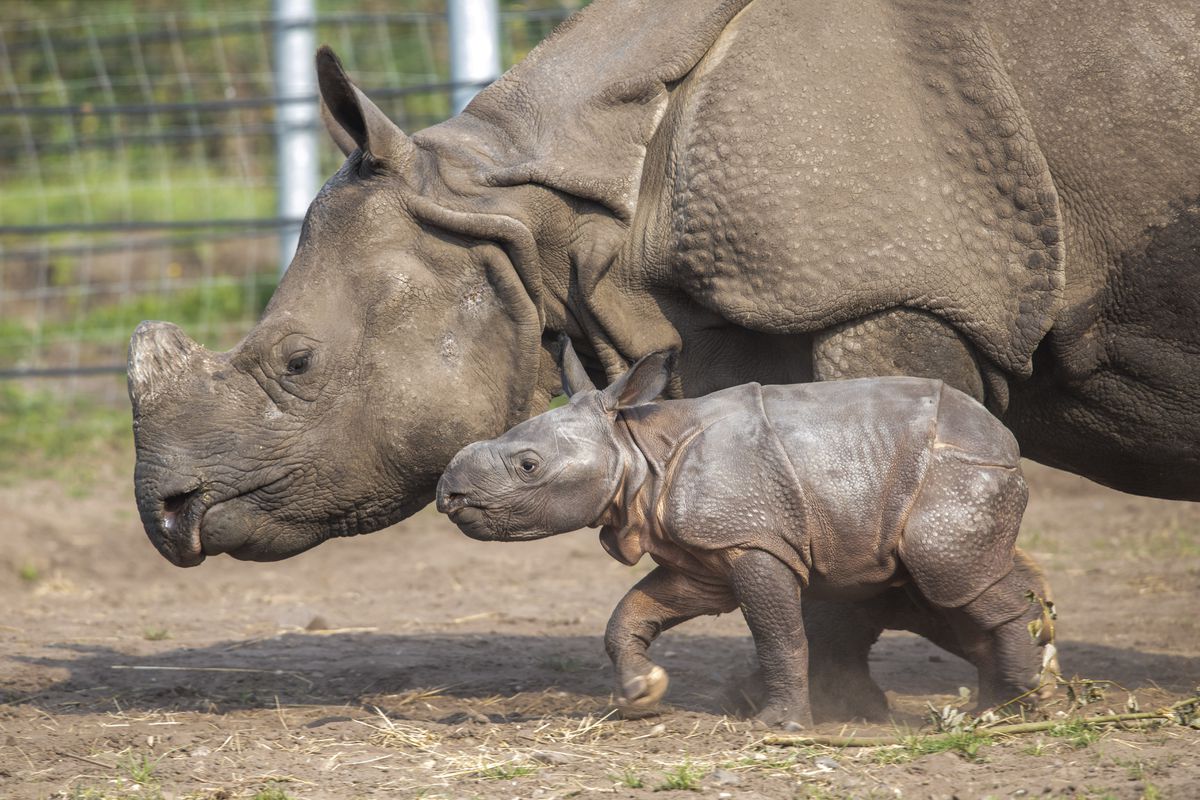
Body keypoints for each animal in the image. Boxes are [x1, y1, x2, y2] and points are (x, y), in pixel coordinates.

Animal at [436, 340, 1056, 729]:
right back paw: (1003, 704)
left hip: (955, 474)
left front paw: (779, 726)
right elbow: (631, 613)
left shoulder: (752, 539)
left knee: (957, 580)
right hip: (945, 478)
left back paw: (1013, 712)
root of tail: (1006, 443)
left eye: (529, 466)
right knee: (956, 591)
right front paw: (643, 693)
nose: (449, 495)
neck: (636, 446)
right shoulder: (702, 555)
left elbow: (778, 633)